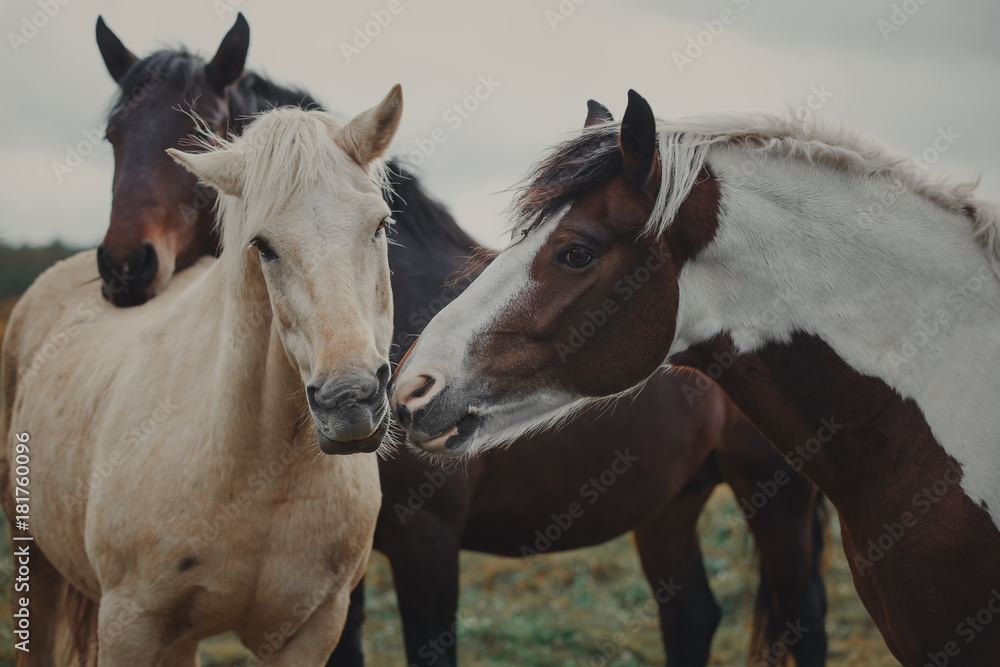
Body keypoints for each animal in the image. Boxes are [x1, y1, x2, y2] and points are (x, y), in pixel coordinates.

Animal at [0, 88, 403, 665]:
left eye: (380, 225)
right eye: (263, 245)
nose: (350, 401)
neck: (260, 472)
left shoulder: (311, 629)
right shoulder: (129, 625)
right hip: (34, 556)